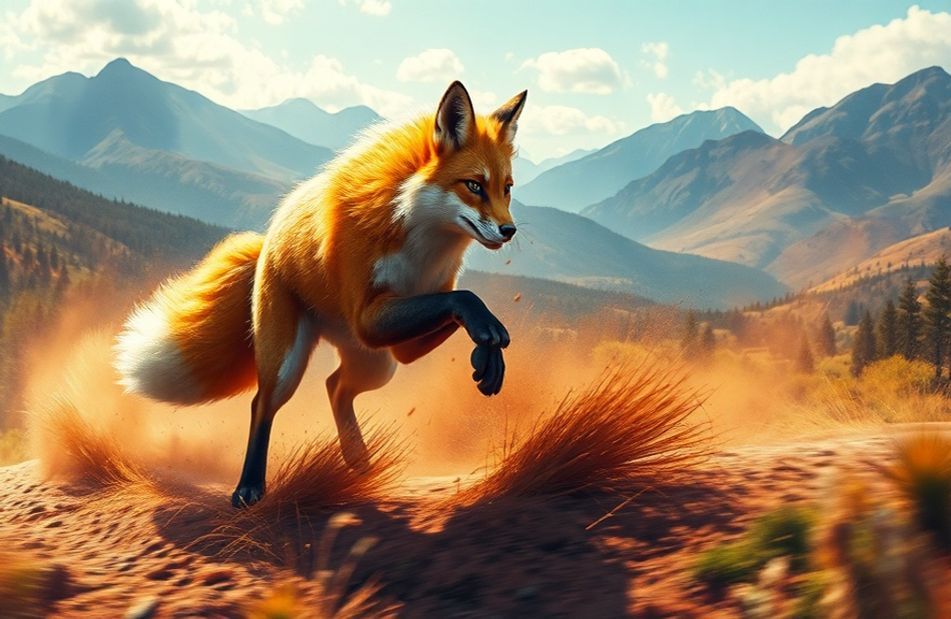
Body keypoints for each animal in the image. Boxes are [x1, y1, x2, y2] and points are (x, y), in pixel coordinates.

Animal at [114, 81, 527, 507]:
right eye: (474, 185)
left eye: (507, 189)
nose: (509, 230)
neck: (420, 244)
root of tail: (268, 243)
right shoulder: (367, 319)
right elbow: (465, 299)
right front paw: (488, 338)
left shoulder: (404, 342)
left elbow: (459, 303)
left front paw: (488, 356)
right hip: (290, 363)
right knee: (262, 404)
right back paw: (249, 487)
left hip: (378, 365)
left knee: (335, 386)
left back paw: (357, 458)